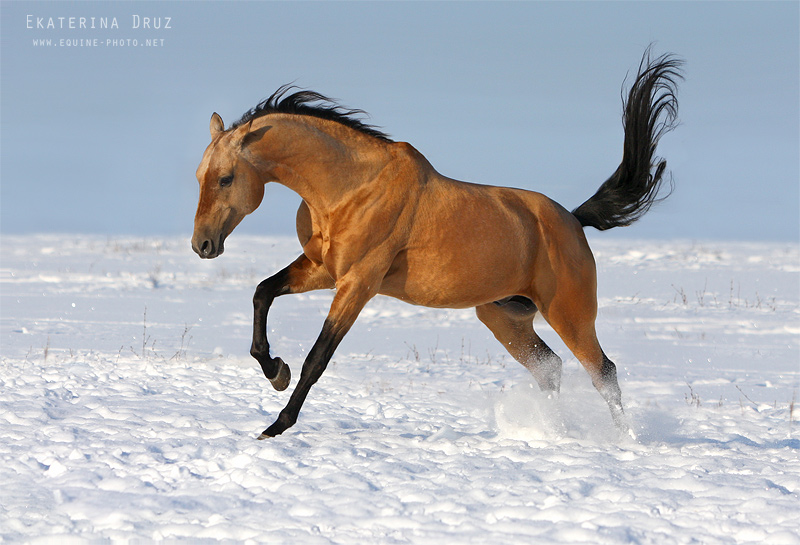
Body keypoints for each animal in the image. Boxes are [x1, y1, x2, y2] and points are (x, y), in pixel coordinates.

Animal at [192, 47, 680, 438]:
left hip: (570, 314)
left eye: (226, 178)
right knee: (550, 369)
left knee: (604, 373)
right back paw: (553, 431)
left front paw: (275, 426)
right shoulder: (323, 269)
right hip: (505, 318)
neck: (352, 187)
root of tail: (573, 222)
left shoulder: (357, 283)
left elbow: (317, 359)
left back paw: (625, 441)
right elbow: (262, 294)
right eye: (199, 176)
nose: (202, 245)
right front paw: (275, 371)